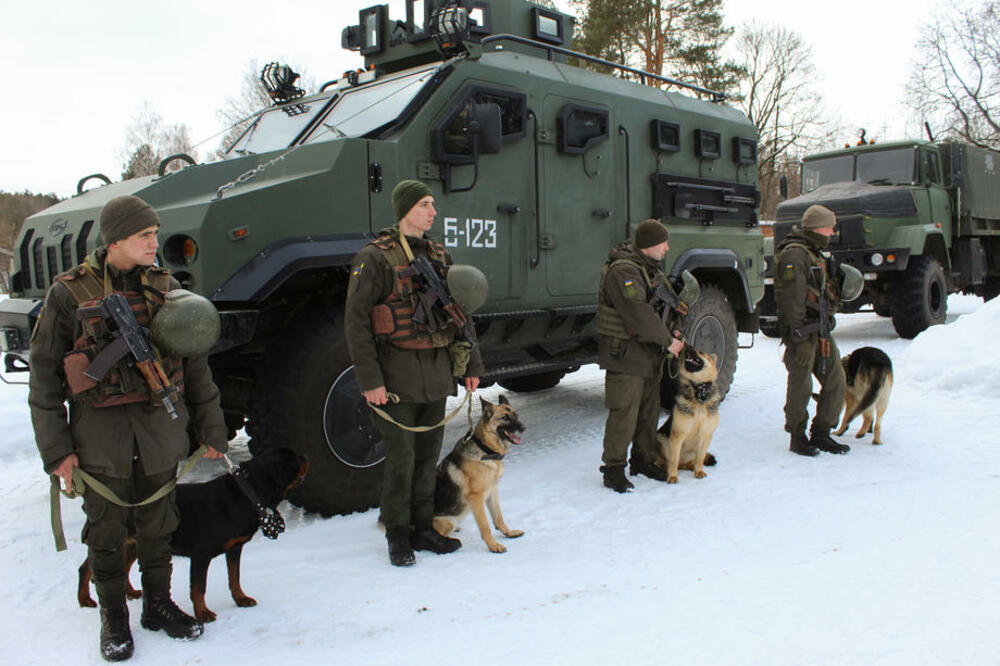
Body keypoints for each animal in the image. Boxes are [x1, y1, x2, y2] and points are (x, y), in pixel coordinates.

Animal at [78, 446, 308, 624]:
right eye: (294, 460)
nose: (305, 456)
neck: (247, 493)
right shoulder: (200, 555)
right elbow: (198, 587)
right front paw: (202, 613)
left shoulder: (235, 548)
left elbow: (234, 577)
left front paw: (240, 599)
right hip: (112, 539)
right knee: (86, 568)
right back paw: (84, 600)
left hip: (135, 543)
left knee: (124, 567)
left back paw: (131, 593)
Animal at [434, 394, 528, 548]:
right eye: (505, 417)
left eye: (516, 415)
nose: (523, 428)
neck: (485, 450)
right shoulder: (476, 499)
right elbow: (485, 526)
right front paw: (493, 546)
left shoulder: (493, 491)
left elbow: (498, 518)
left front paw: (508, 533)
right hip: (448, 521)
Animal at [656, 344, 720, 480]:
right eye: (692, 347)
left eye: (701, 352)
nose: (688, 345)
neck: (699, 391)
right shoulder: (677, 435)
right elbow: (673, 460)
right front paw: (672, 477)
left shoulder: (706, 435)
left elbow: (700, 459)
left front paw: (699, 471)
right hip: (662, 439)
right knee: (670, 461)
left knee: (690, 462)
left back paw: (691, 467)